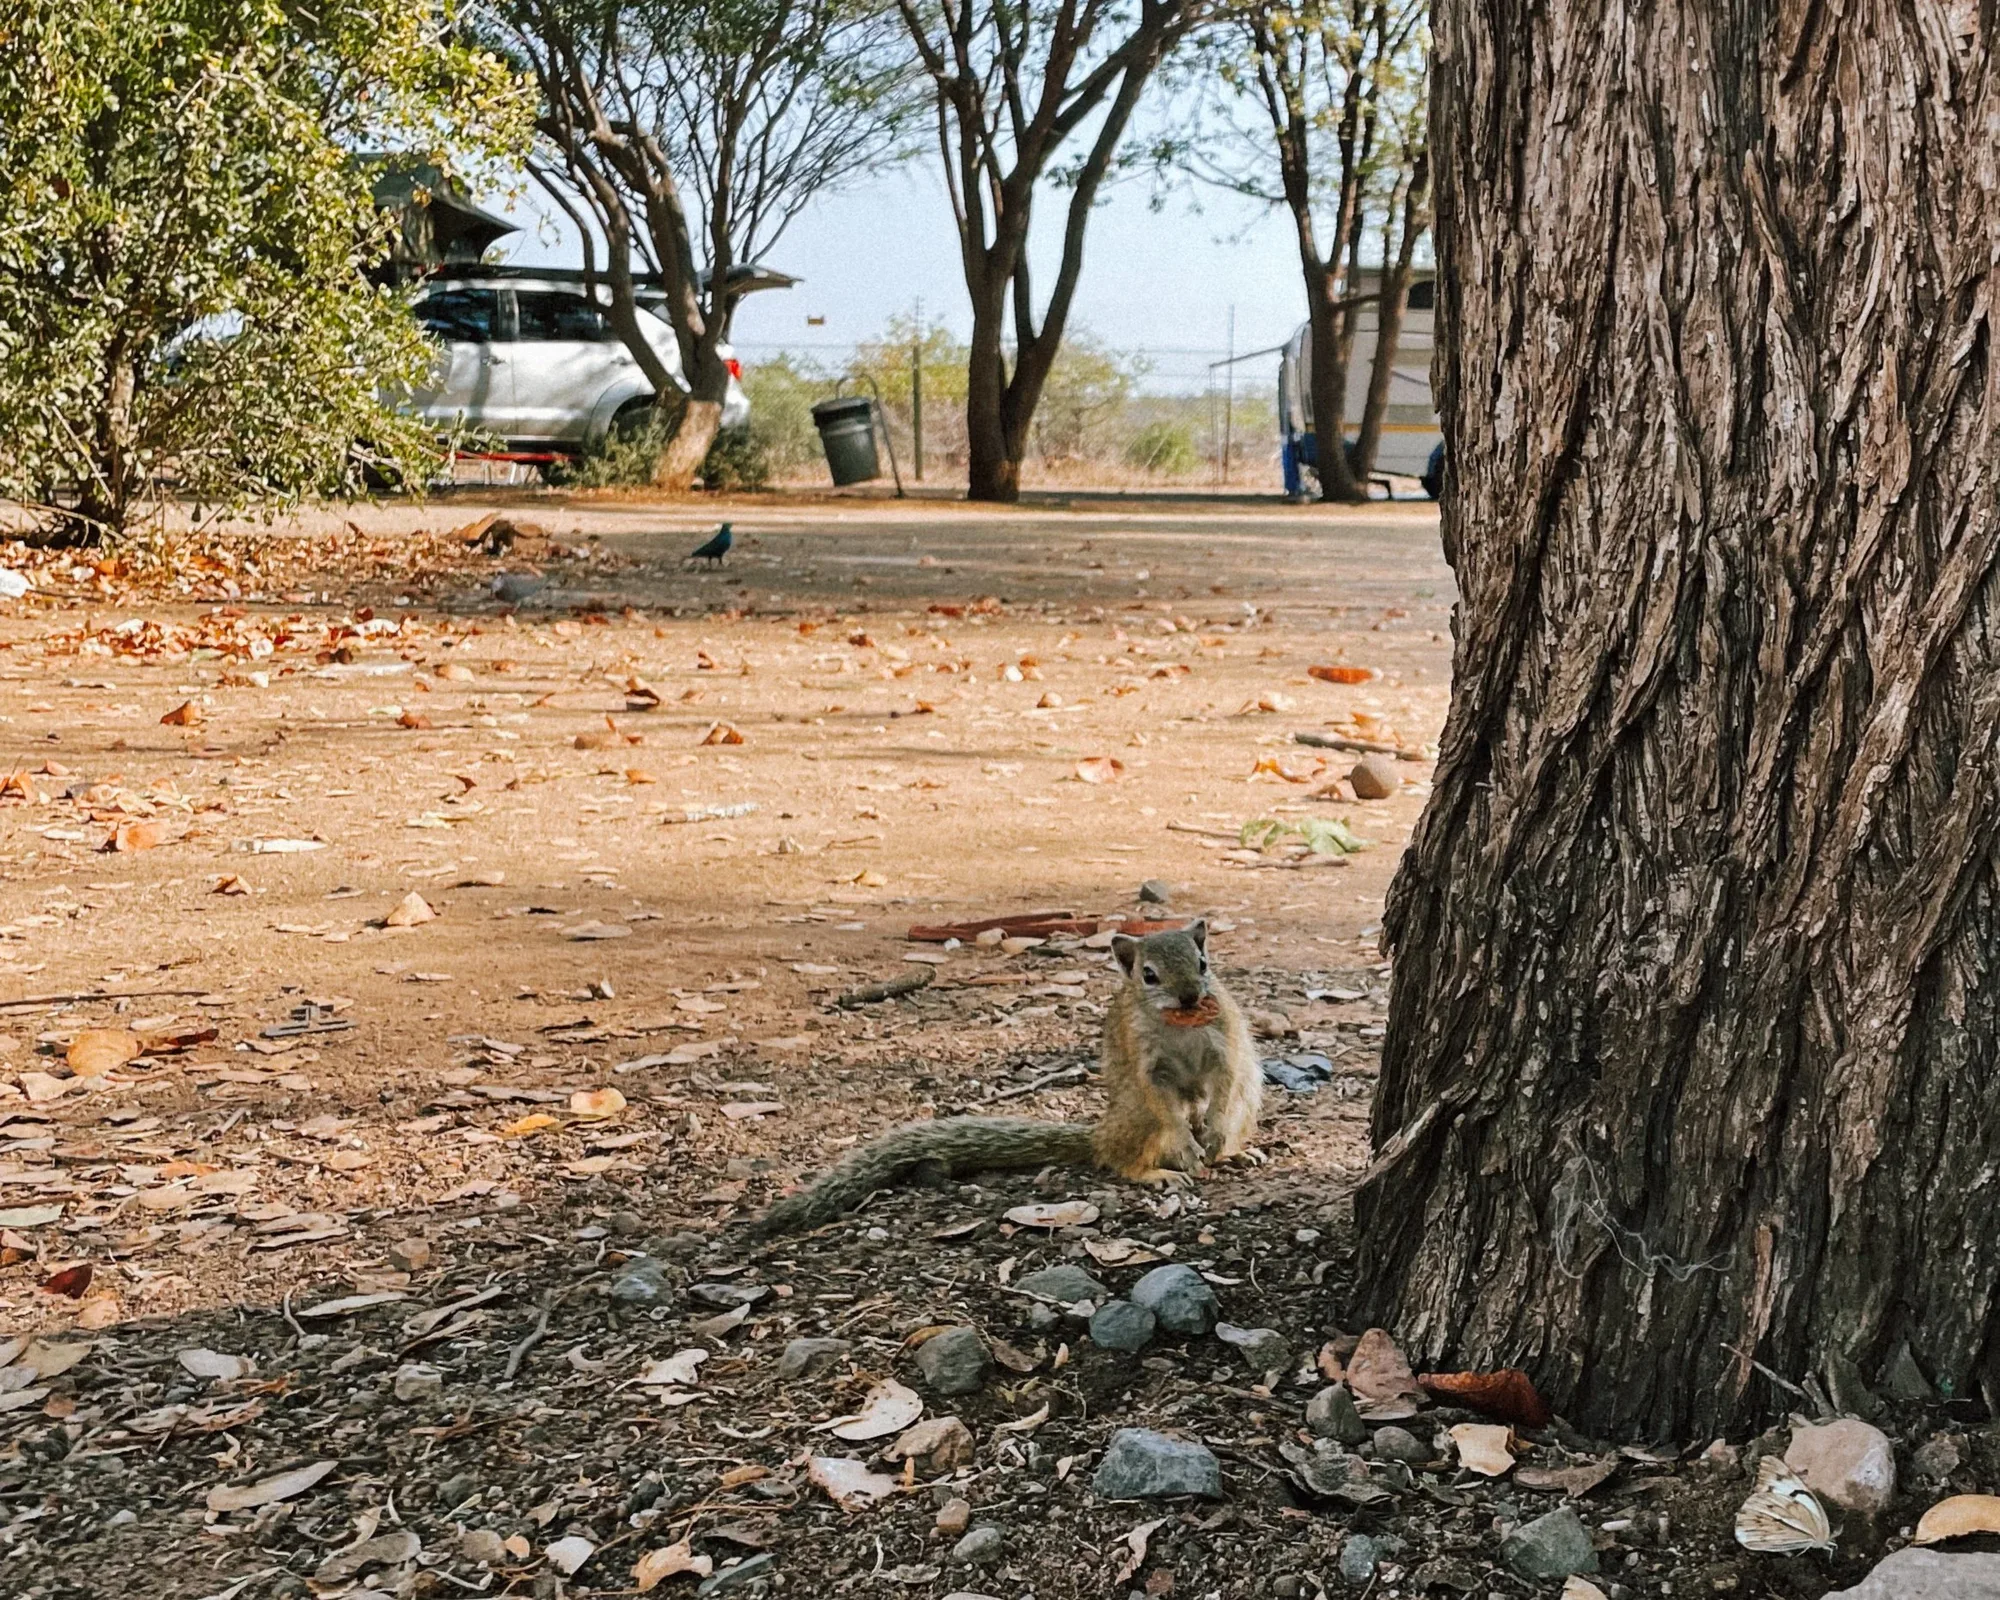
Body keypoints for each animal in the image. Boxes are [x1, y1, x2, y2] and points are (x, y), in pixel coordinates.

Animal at [752, 920, 1261, 1235]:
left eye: (1203, 964)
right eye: (1149, 975)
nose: (1191, 997)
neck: (1181, 1025)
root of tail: (1100, 1131)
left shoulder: (1223, 1043)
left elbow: (1224, 1078)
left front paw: (1212, 1135)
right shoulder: (1146, 1061)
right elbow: (1163, 1101)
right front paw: (1188, 1144)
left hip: (1247, 1103)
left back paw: (1231, 1151)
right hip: (1138, 1121)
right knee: (1119, 1159)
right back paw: (1158, 1172)